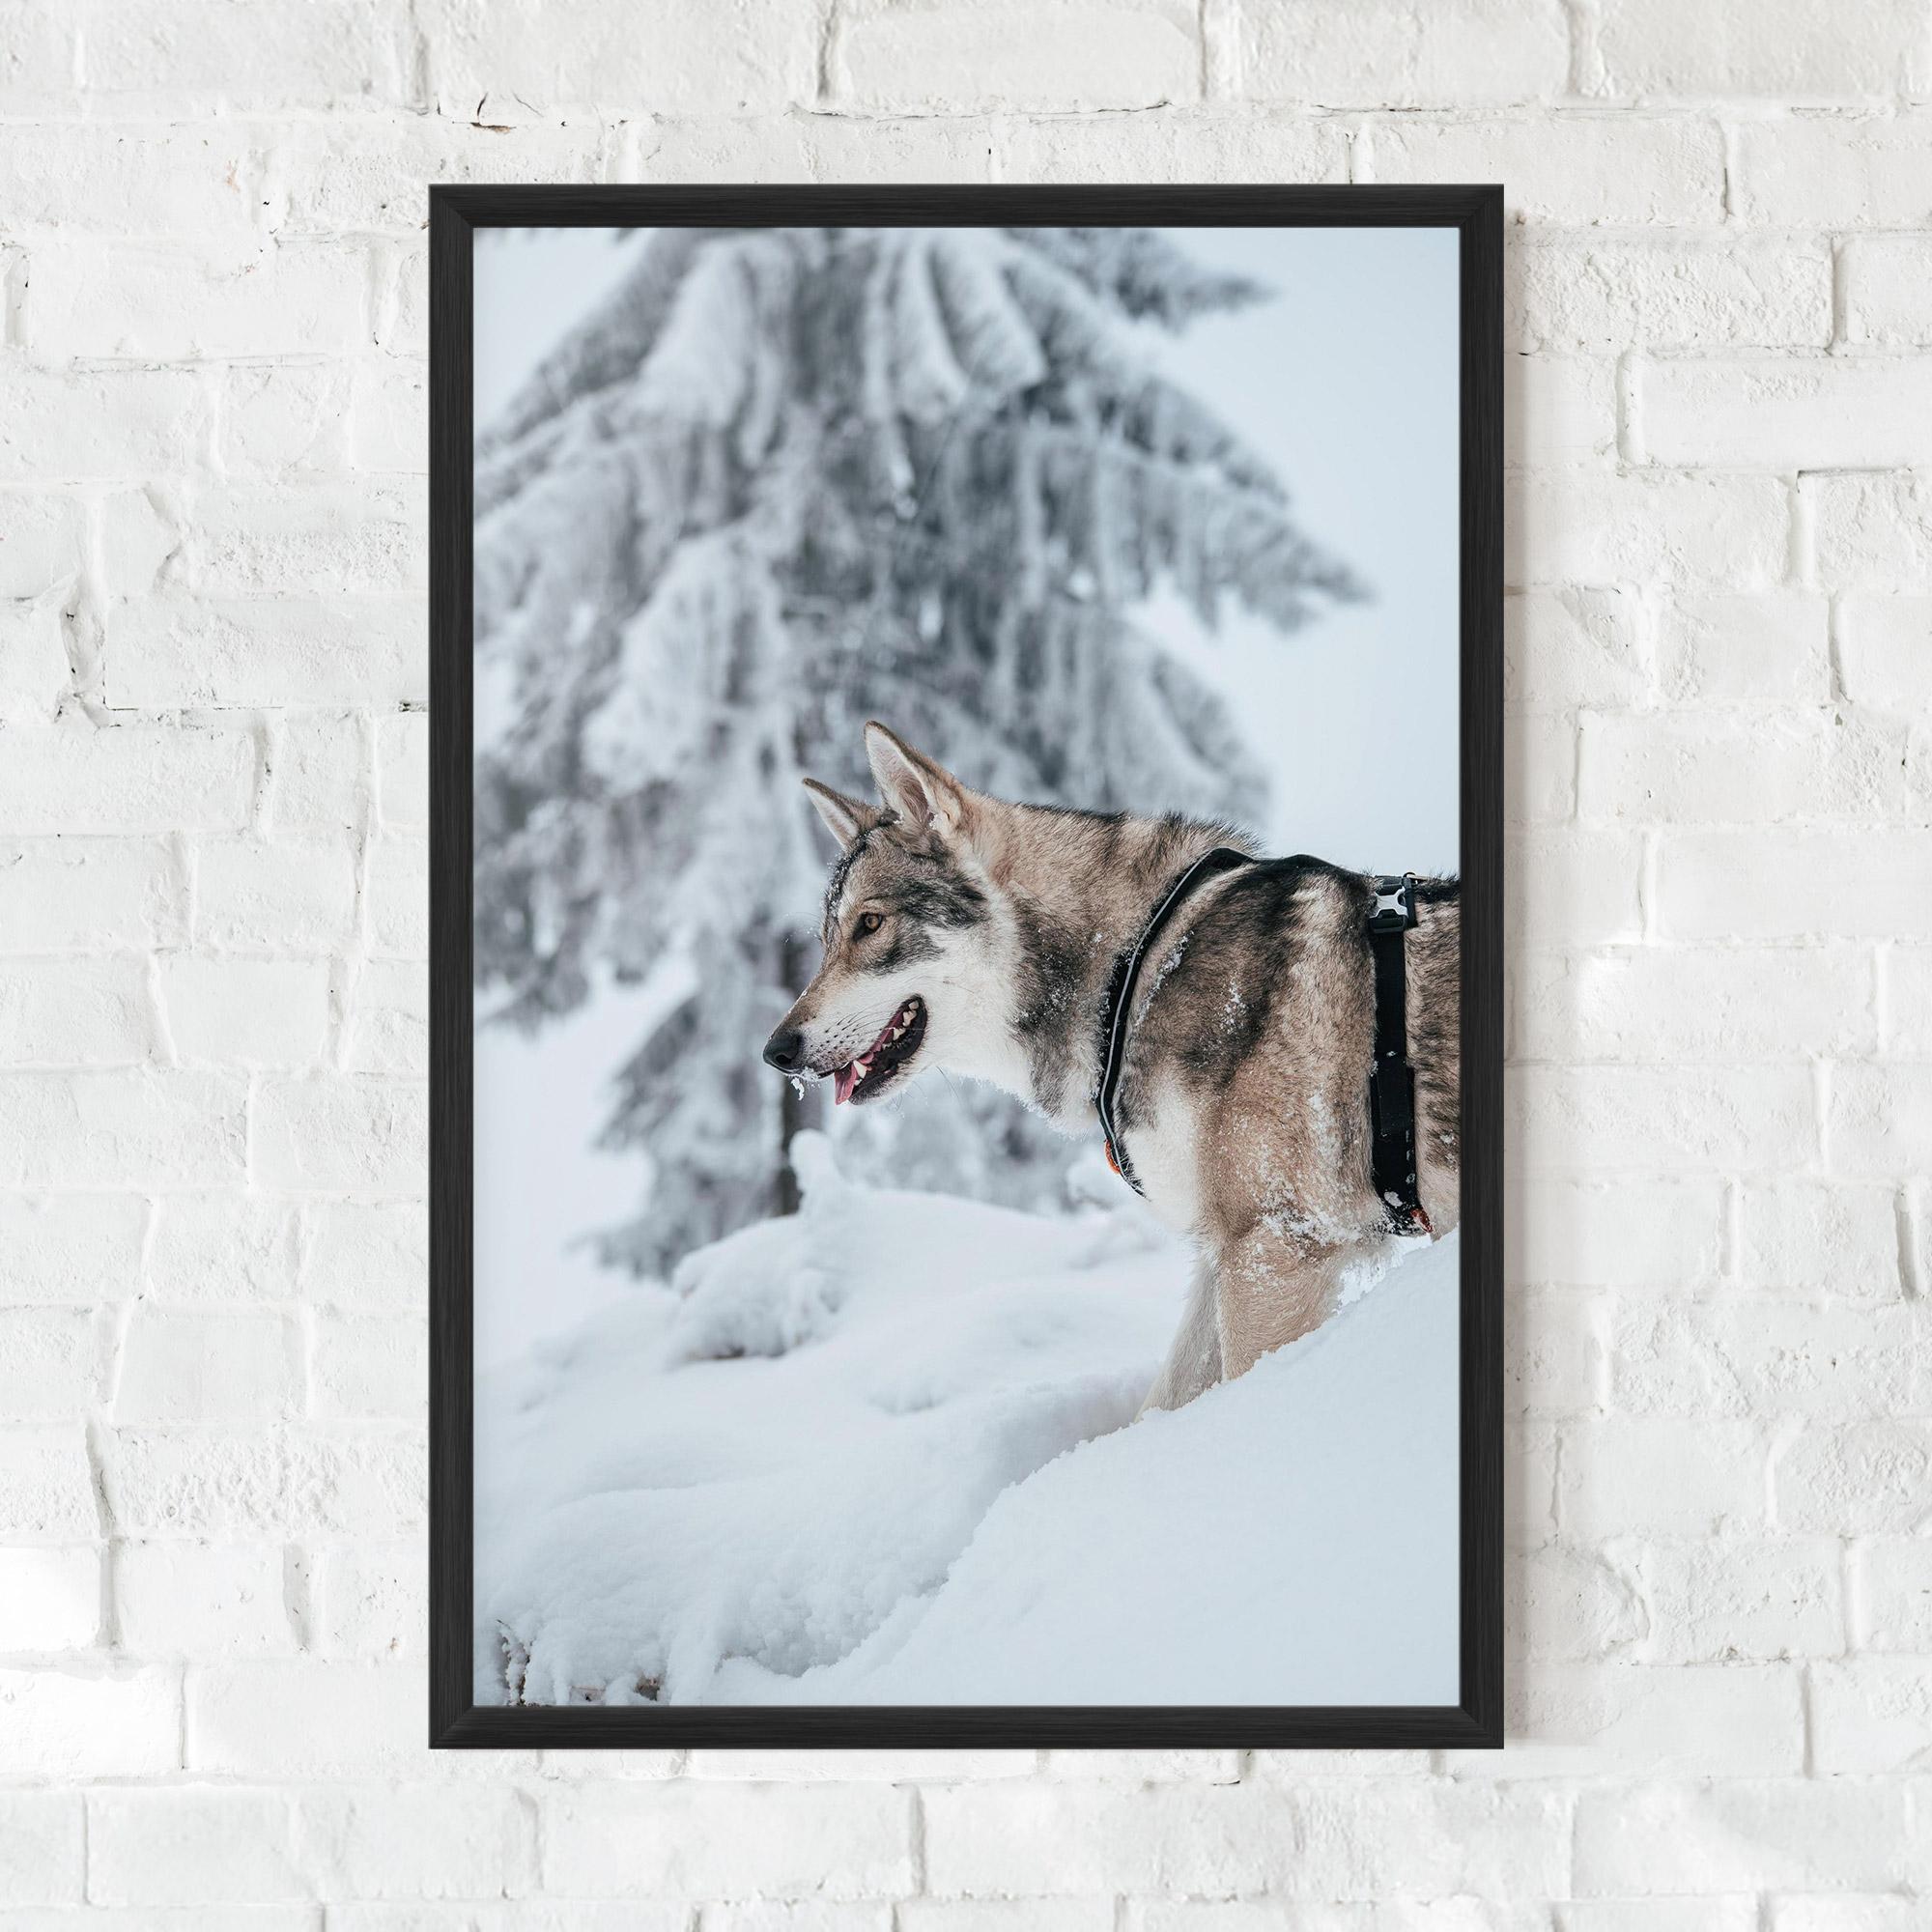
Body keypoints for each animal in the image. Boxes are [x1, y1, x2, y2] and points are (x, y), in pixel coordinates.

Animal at [763, 722, 1460, 1414]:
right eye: (826, 941)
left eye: (870, 924)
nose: (776, 1051)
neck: (1135, 966)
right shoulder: (1225, 1254)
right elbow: (1162, 1403)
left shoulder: (1275, 1247)